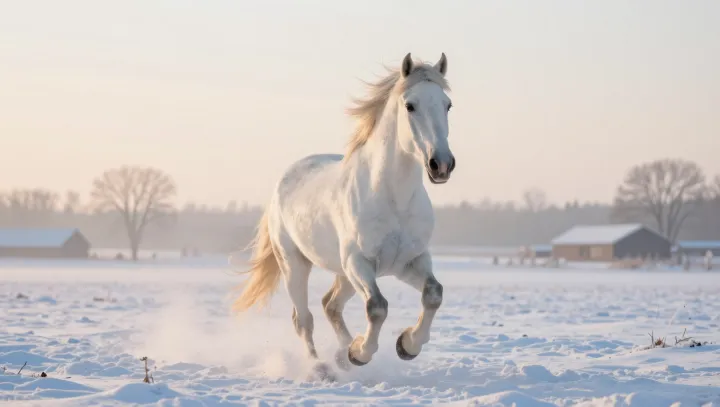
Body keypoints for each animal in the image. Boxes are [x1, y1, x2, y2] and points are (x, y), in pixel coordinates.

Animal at [232, 52, 456, 372]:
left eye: (447, 105)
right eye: (410, 105)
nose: (442, 164)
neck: (393, 199)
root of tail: (284, 180)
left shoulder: (410, 261)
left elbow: (434, 294)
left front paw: (406, 345)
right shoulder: (359, 262)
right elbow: (377, 307)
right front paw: (361, 352)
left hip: (344, 274)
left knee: (330, 304)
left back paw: (342, 355)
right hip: (295, 264)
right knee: (304, 319)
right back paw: (321, 368)